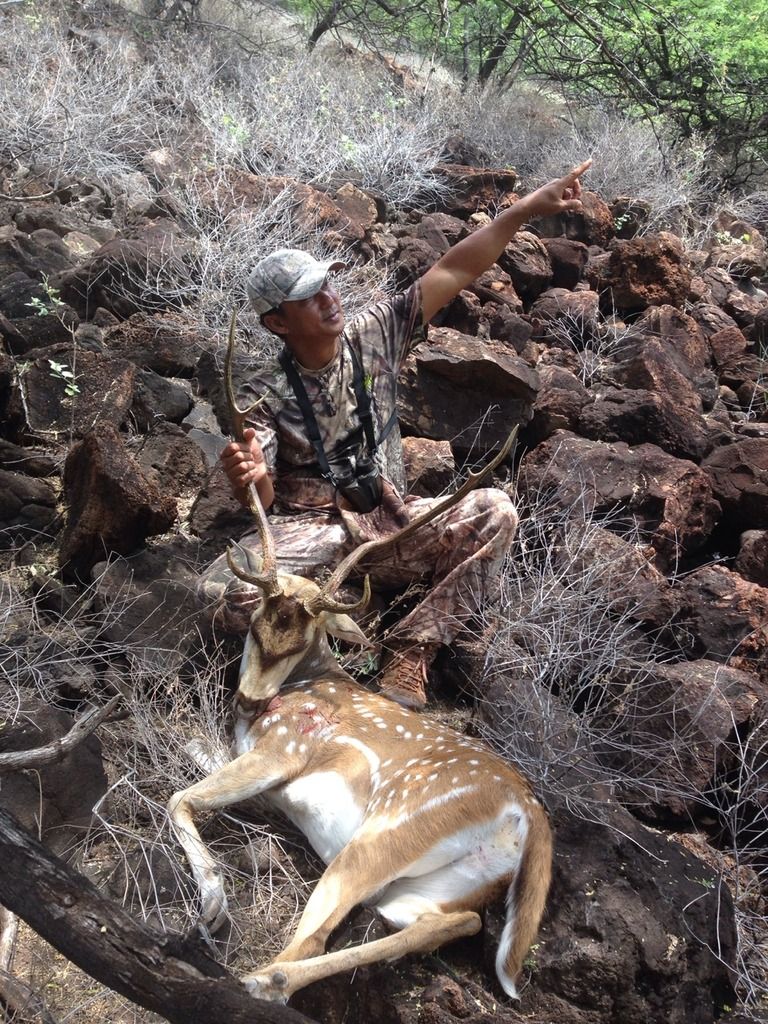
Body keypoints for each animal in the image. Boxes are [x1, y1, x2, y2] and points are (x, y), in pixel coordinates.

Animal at [166, 315, 552, 1004]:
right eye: (260, 617)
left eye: (310, 630)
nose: (252, 697)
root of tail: (531, 823)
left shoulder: (282, 748)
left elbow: (179, 796)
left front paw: (210, 903)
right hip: (432, 887)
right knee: (447, 923)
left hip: (387, 832)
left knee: (314, 935)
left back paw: (250, 976)